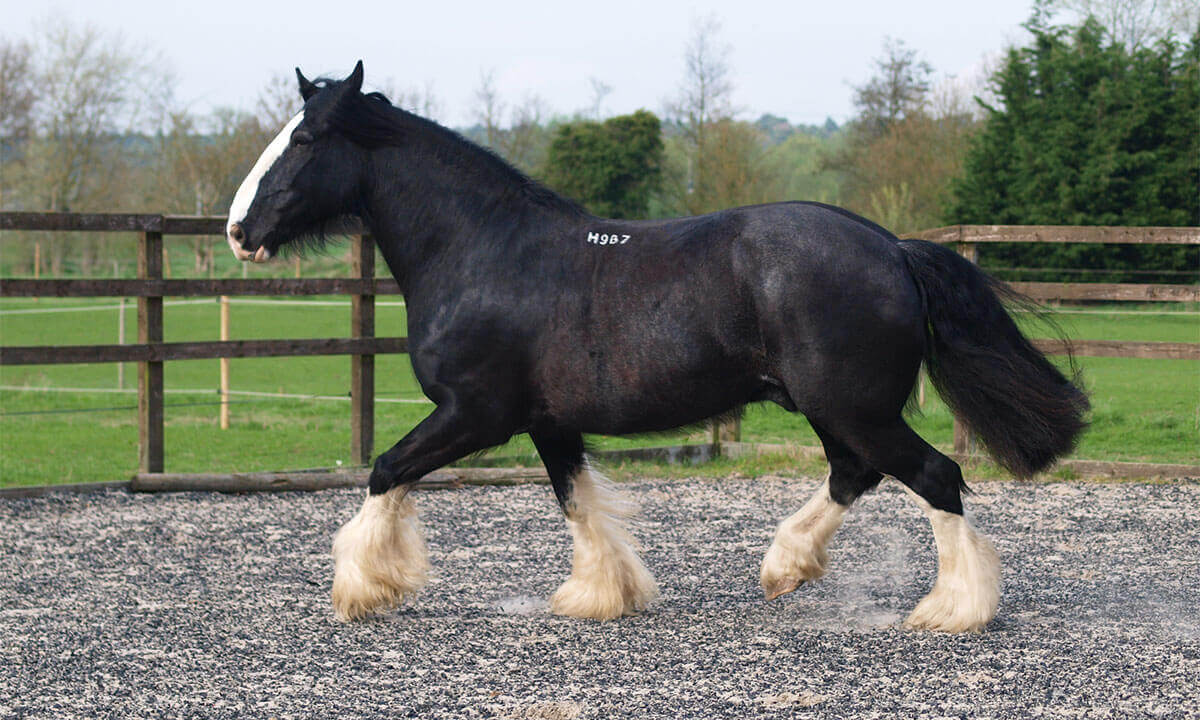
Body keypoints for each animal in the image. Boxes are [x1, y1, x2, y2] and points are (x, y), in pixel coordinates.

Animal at [225, 61, 1089, 633]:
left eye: (306, 139)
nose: (238, 230)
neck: (484, 251)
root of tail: (893, 247)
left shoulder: (475, 415)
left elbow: (384, 470)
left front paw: (362, 589)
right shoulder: (546, 422)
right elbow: (576, 501)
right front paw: (601, 596)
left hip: (854, 406)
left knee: (934, 477)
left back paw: (952, 609)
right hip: (834, 408)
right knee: (856, 474)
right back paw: (784, 568)